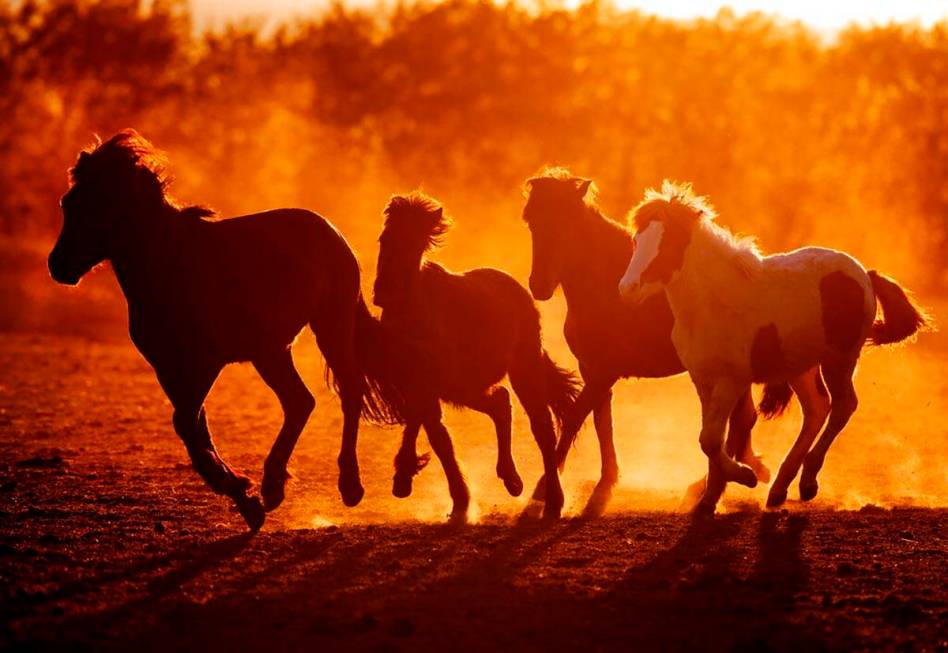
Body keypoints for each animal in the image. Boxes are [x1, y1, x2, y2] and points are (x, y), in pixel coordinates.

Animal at [48, 129, 404, 528]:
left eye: (101, 203)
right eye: (68, 202)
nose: (58, 266)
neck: (168, 266)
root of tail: (330, 231)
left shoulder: (205, 363)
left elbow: (187, 423)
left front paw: (239, 490)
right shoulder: (167, 368)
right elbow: (193, 428)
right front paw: (246, 500)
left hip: (330, 326)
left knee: (349, 390)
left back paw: (349, 486)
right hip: (271, 351)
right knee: (300, 402)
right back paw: (273, 486)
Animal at [370, 192, 576, 520]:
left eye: (414, 244)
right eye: (384, 238)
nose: (383, 292)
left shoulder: (434, 383)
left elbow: (430, 430)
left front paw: (445, 492)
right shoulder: (419, 384)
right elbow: (434, 433)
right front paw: (412, 480)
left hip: (520, 371)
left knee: (540, 427)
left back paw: (552, 501)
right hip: (467, 387)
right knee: (500, 403)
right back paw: (512, 480)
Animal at [520, 168, 776, 516]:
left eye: (568, 221)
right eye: (532, 221)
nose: (540, 285)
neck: (604, 286)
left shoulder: (604, 373)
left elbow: (574, 418)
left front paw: (545, 490)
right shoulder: (593, 371)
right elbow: (601, 423)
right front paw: (604, 485)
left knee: (737, 424)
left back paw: (707, 487)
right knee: (741, 422)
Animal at [620, 181, 928, 512]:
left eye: (667, 244)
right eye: (637, 240)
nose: (628, 290)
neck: (714, 302)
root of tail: (864, 275)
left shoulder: (731, 380)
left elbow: (711, 439)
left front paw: (745, 476)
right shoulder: (703, 379)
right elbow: (711, 438)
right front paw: (709, 500)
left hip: (840, 359)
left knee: (843, 406)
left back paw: (807, 482)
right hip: (801, 367)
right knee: (817, 408)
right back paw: (780, 488)